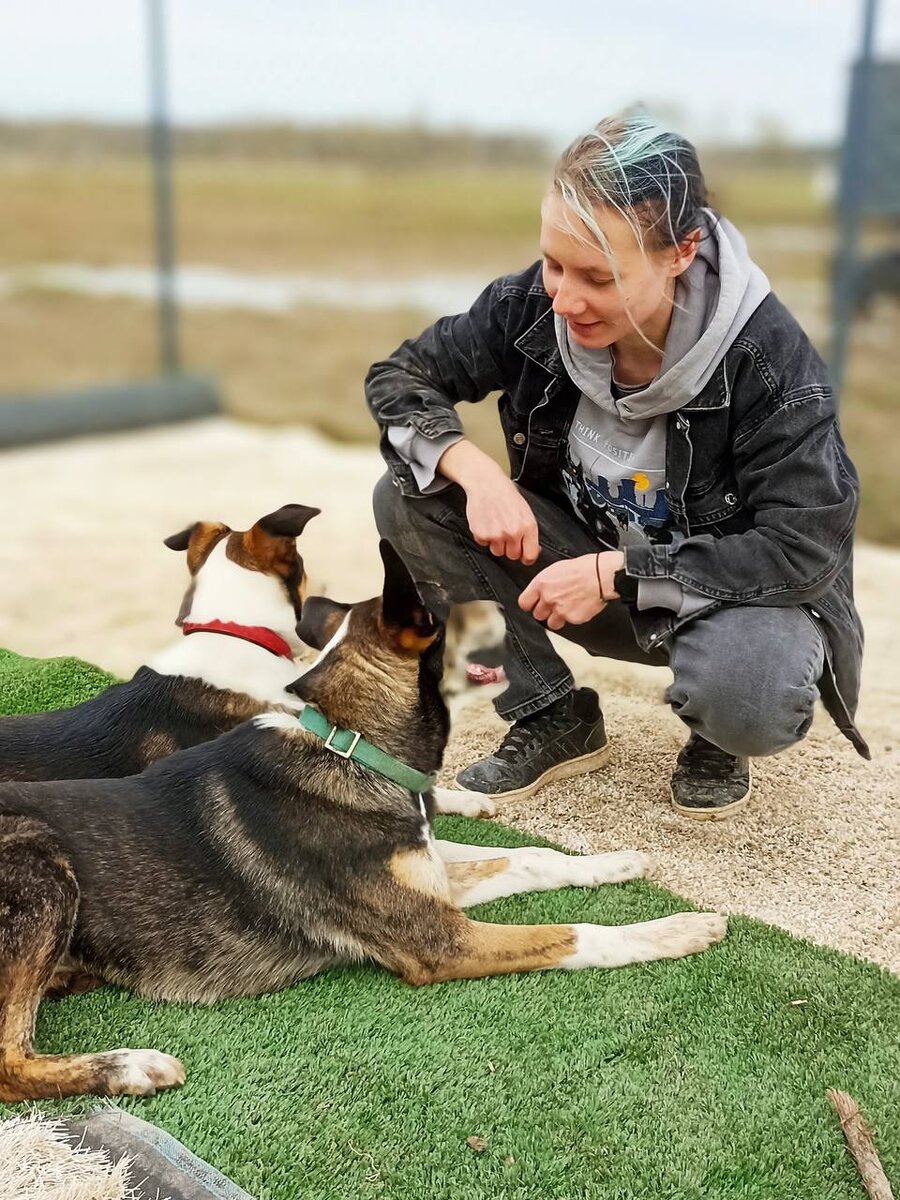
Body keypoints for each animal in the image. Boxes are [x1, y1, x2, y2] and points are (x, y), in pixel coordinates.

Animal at [0, 544, 724, 1104]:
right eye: (447, 605)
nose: (521, 598)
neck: (352, 746)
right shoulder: (440, 942)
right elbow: (577, 935)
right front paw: (680, 929)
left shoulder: (430, 883)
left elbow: (531, 858)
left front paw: (617, 863)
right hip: (40, 864)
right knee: (10, 1066)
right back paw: (130, 1067)